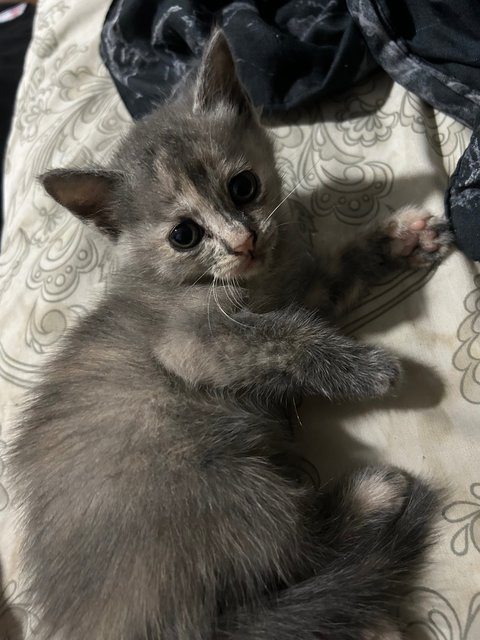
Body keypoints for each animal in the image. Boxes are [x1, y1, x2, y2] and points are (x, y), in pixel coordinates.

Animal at [12, 28, 454, 640]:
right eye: (184, 235)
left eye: (243, 186)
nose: (243, 241)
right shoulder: (191, 342)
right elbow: (286, 337)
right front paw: (369, 370)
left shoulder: (298, 292)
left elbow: (329, 282)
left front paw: (399, 240)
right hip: (220, 486)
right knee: (301, 546)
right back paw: (374, 494)